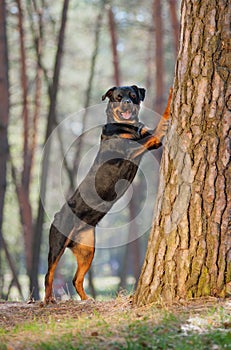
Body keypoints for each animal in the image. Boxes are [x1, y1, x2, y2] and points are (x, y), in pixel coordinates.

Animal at [44, 85, 172, 304]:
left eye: (133, 95)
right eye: (118, 97)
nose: (127, 103)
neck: (125, 126)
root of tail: (56, 216)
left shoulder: (151, 140)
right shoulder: (140, 144)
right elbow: (162, 121)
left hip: (87, 250)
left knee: (76, 279)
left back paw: (87, 299)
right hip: (57, 244)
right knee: (49, 274)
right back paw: (48, 299)